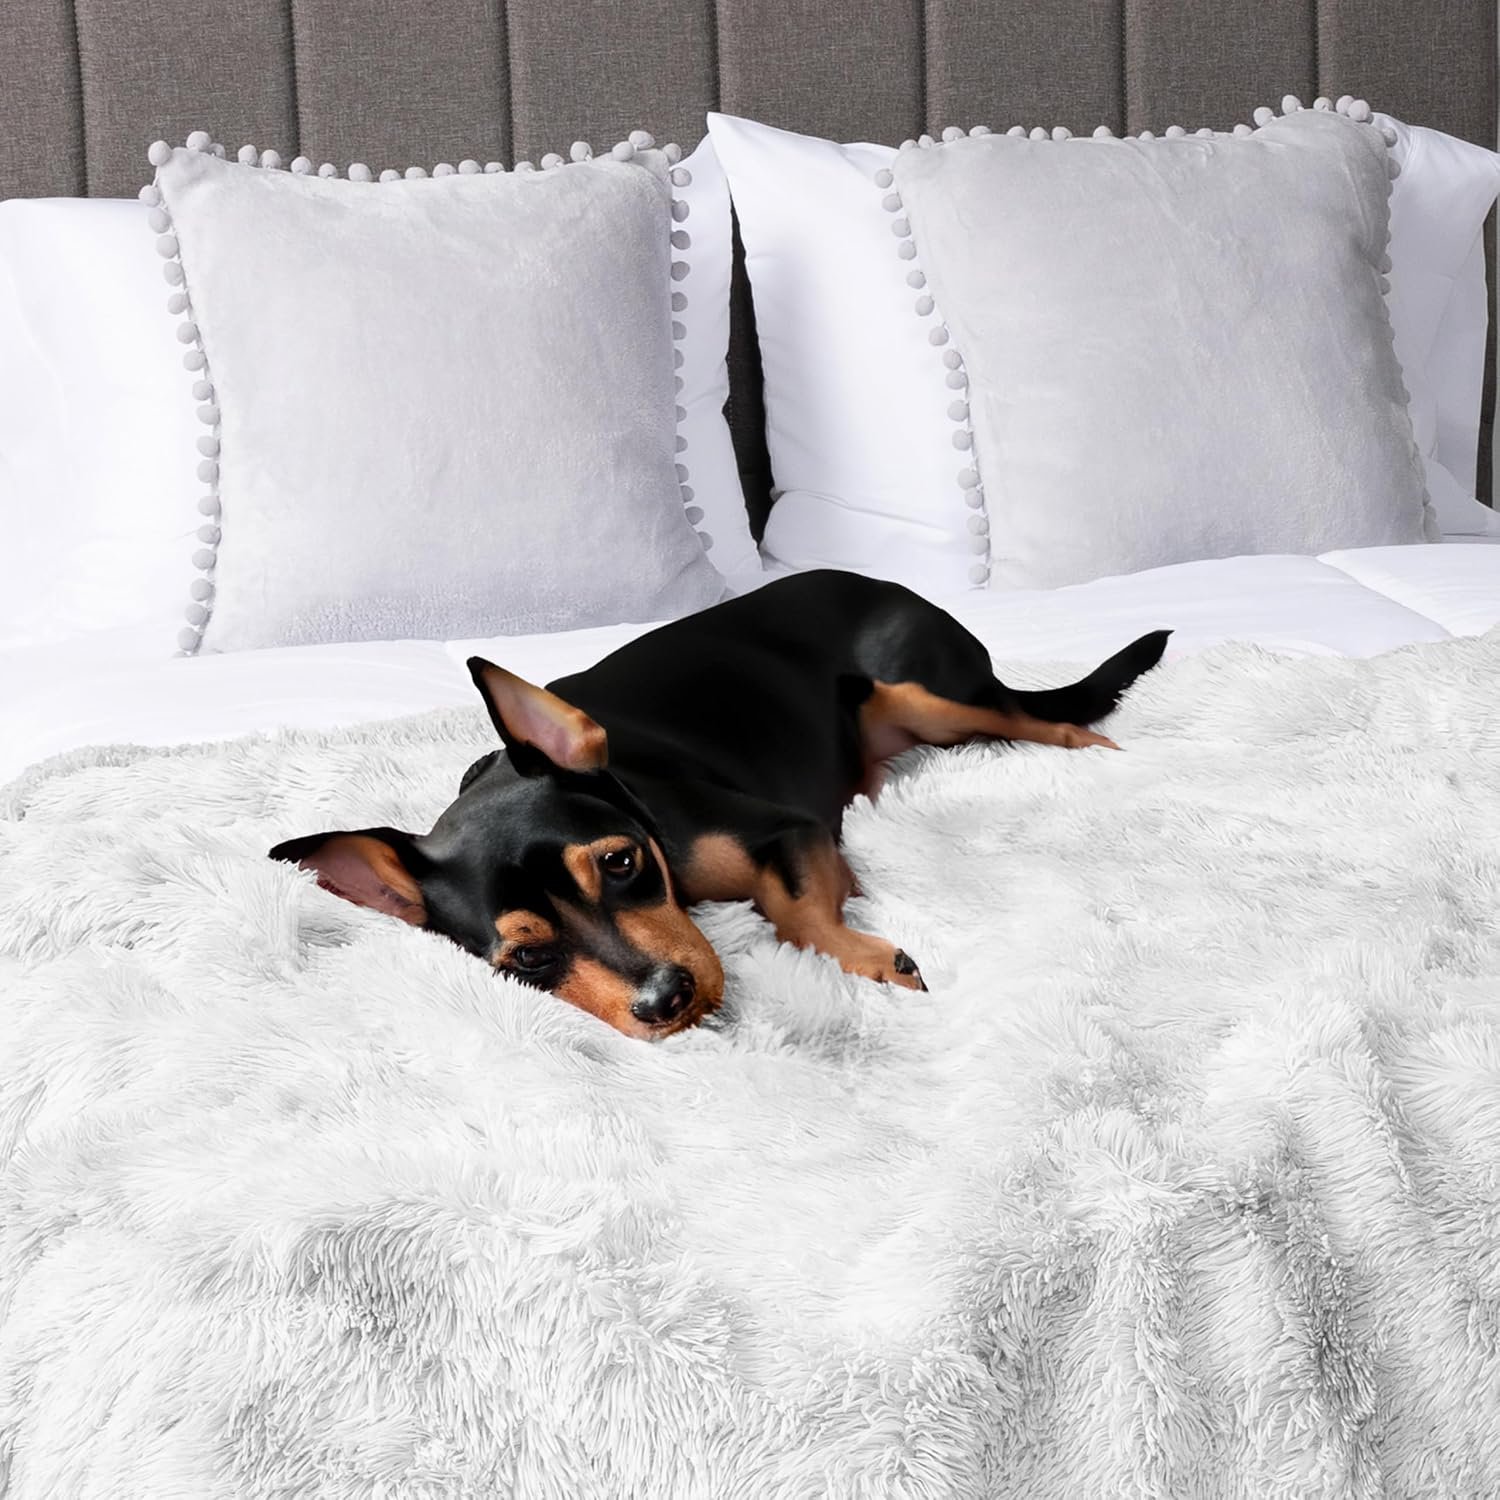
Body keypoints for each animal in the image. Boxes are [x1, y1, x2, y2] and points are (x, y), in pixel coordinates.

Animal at [271, 570, 1168, 1039]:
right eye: (525, 958)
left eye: (621, 863)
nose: (664, 1000)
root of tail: (881, 579)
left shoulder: (787, 831)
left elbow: (798, 914)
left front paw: (872, 958)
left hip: (932, 696)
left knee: (1053, 723)